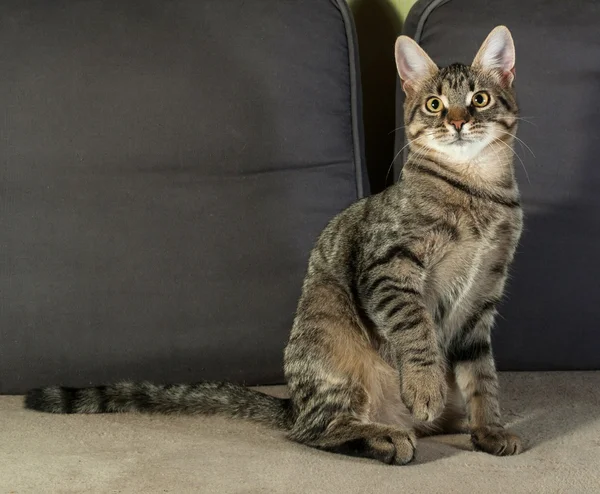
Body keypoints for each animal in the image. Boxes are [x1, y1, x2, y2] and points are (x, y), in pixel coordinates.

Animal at [27, 25, 524, 466]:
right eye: (435, 104)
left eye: (479, 99)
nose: (457, 122)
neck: (478, 193)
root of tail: (293, 404)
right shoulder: (387, 268)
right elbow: (417, 331)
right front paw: (425, 387)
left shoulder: (482, 299)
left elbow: (483, 377)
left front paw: (490, 429)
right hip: (333, 346)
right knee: (315, 430)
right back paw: (384, 436)